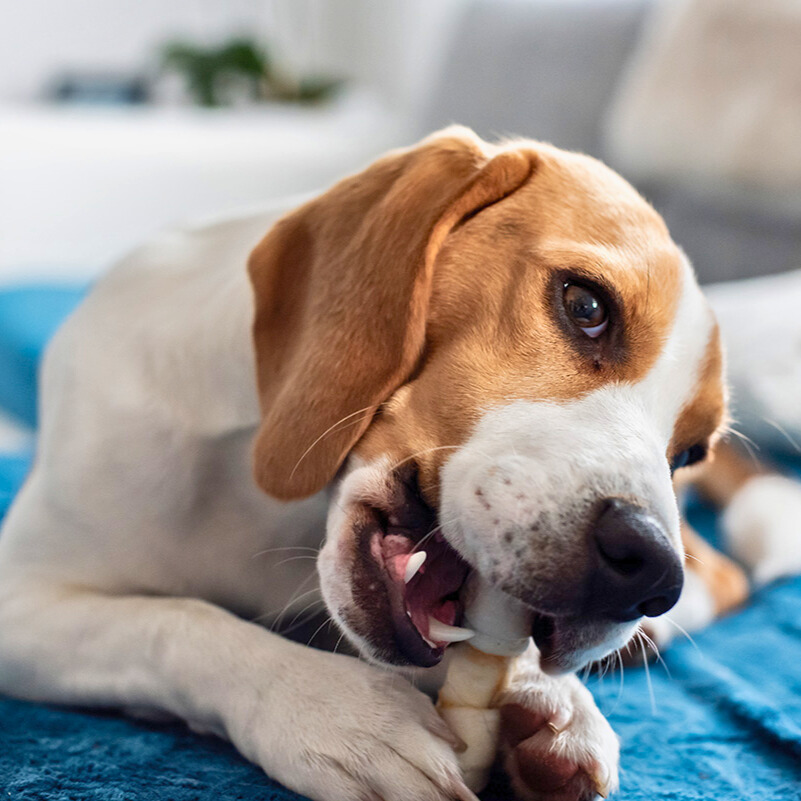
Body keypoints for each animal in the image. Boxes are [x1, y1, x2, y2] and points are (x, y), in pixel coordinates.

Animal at [0, 128, 736, 796]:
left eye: (688, 452)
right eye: (585, 305)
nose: (649, 572)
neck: (267, 507)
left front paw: (549, 696)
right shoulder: (23, 601)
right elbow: (177, 620)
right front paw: (334, 712)